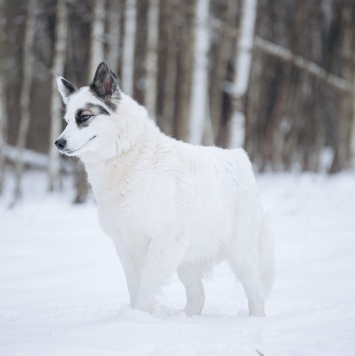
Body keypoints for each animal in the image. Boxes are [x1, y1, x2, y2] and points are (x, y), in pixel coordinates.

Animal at [55, 62, 276, 316]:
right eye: (67, 120)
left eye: (84, 117)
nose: (58, 143)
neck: (127, 156)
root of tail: (240, 157)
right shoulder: (125, 245)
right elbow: (134, 286)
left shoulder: (165, 239)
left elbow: (146, 285)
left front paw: (139, 316)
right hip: (186, 260)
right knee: (198, 298)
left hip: (240, 254)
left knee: (257, 294)